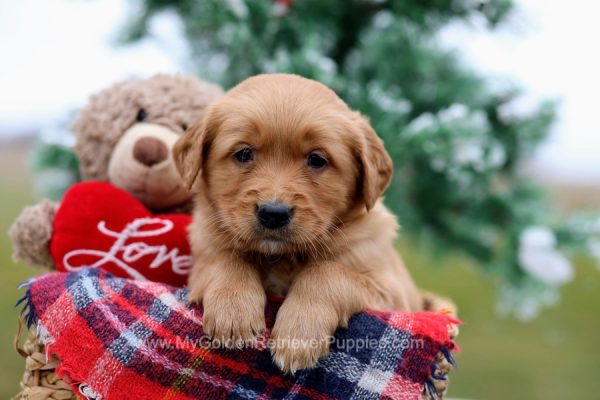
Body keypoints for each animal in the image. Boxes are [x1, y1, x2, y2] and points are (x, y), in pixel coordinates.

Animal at [172, 73, 440, 374]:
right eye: (243, 154)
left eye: (317, 159)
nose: (273, 213)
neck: (282, 259)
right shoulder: (202, 258)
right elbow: (228, 258)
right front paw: (232, 310)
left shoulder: (393, 293)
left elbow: (325, 272)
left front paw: (298, 335)